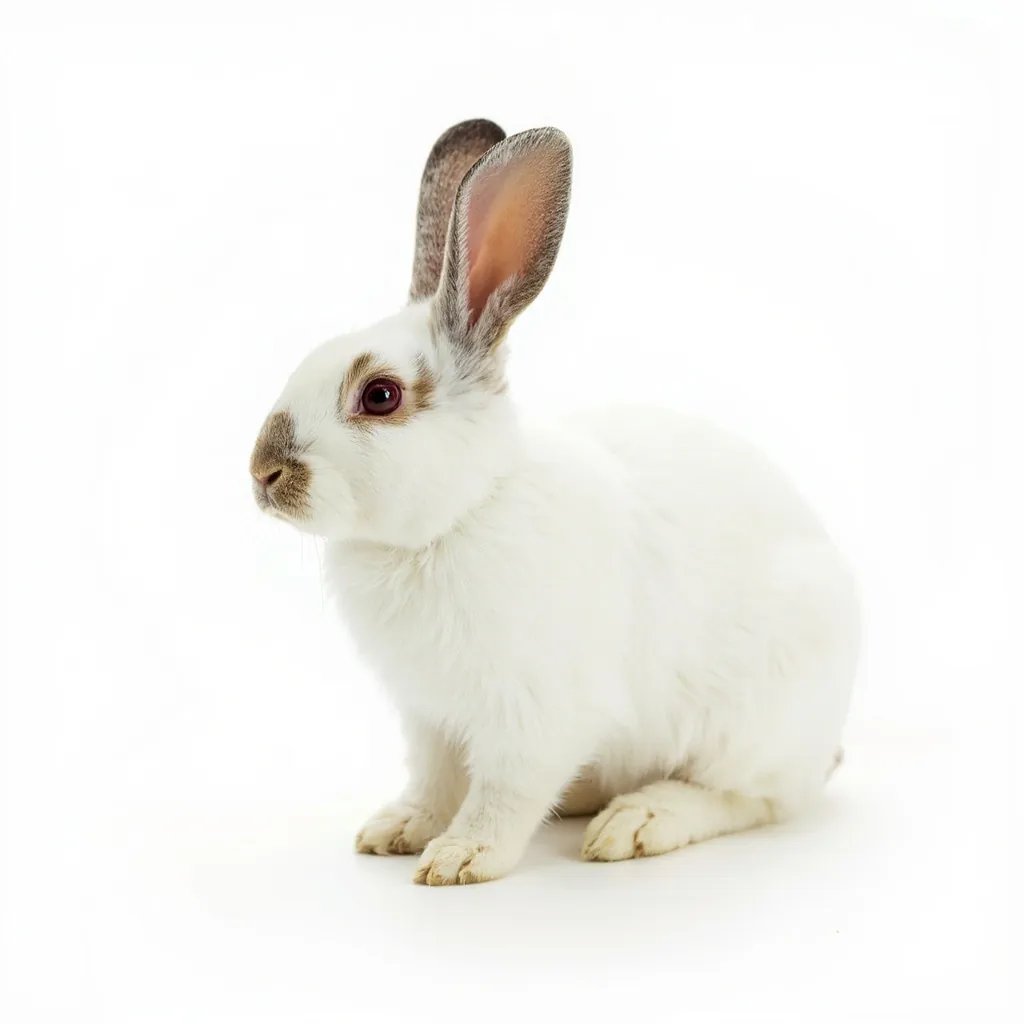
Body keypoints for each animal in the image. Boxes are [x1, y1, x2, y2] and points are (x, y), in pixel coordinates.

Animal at [249, 119, 860, 885]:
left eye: (380, 395)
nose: (262, 473)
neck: (456, 520)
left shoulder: (538, 715)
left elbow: (503, 793)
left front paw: (462, 856)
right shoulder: (429, 717)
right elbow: (435, 781)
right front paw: (399, 828)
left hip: (751, 722)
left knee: (753, 798)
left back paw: (638, 821)